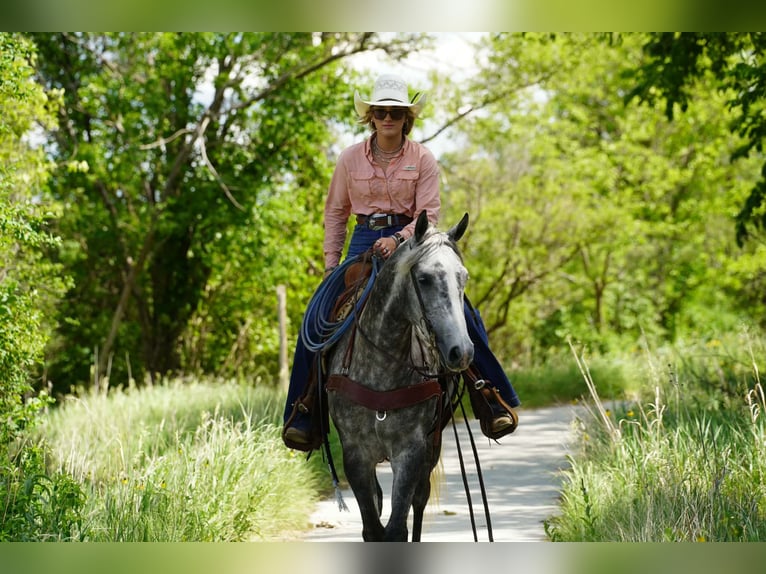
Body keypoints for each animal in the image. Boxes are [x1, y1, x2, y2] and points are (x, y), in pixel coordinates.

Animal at [325, 210, 473, 542]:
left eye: (463, 277)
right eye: (424, 278)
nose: (462, 351)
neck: (381, 366)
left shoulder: (410, 451)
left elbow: (396, 527)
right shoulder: (355, 454)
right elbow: (372, 527)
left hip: (431, 447)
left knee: (419, 500)